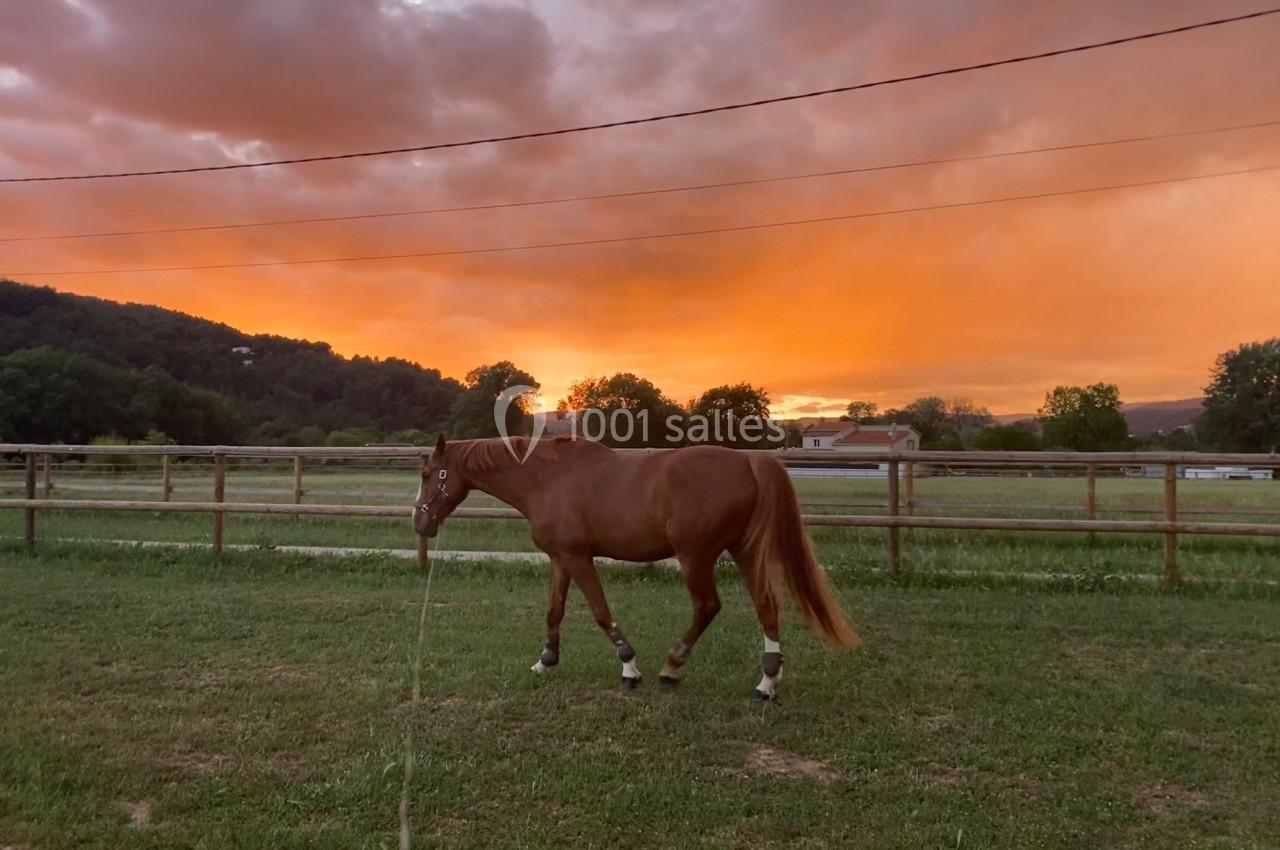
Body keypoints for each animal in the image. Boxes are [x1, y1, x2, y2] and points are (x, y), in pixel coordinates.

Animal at [412, 434, 859, 700]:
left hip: (695, 556)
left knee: (708, 606)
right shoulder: (561, 558)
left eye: (428, 473)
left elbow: (599, 611)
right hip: (744, 551)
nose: (420, 522)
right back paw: (767, 681)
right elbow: (554, 610)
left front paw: (629, 667)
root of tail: (749, 462)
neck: (547, 479)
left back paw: (672, 667)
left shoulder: (578, 558)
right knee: (766, 605)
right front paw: (546, 660)